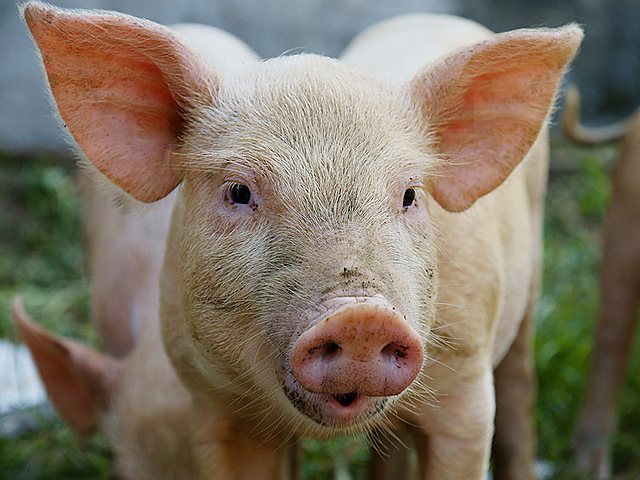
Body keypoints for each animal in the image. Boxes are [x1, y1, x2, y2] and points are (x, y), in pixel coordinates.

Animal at [23, 2, 582, 479]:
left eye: (409, 195)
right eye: (239, 192)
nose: (361, 318)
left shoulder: (465, 385)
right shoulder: (216, 405)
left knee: (518, 391)